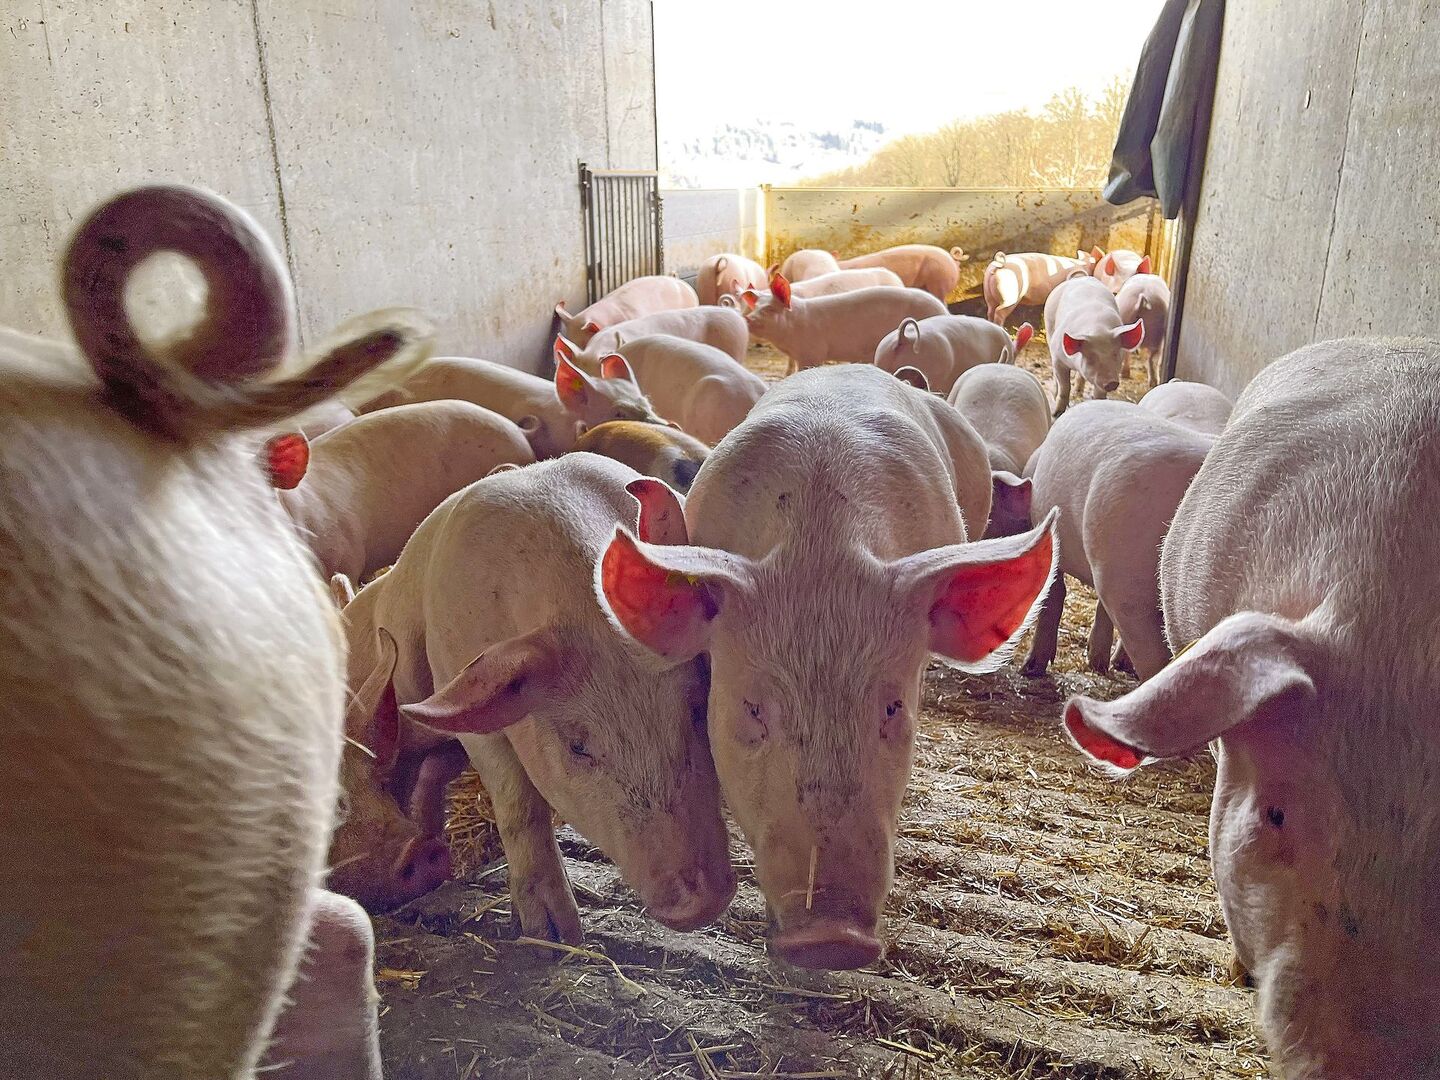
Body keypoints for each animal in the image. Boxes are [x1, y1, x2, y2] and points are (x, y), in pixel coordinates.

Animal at [330, 454, 736, 936]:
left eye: (695, 709)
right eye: (578, 746)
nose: (700, 903)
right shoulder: (460, 684)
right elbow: (518, 802)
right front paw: (552, 934)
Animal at [1044, 275, 1146, 415]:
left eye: (1115, 354)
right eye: (1091, 357)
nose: (1111, 382)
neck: (1098, 329)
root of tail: (1079, 277)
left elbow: (1099, 393)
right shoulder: (1058, 358)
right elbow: (1064, 387)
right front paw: (1056, 413)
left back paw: (1078, 392)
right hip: (1049, 327)